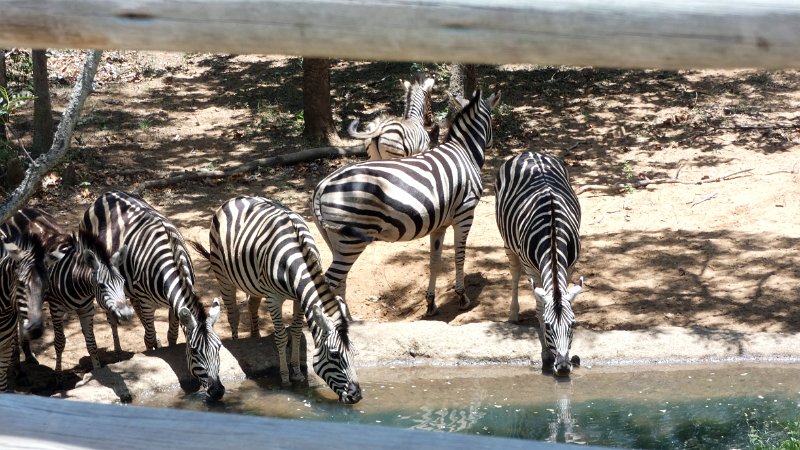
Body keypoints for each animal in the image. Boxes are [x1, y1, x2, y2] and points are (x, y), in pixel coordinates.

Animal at [3, 208, 133, 371]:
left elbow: (92, 344)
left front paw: (98, 371)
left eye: (123, 282)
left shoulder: (87, 309)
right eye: (102, 285)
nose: (127, 314)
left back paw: (28, 355)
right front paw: (58, 373)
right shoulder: (56, 308)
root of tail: (21, 210)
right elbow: (59, 343)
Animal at [80, 191, 225, 400]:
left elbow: (172, 334)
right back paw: (118, 350)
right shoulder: (147, 302)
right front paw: (150, 355)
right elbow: (148, 337)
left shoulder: (174, 305)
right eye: (195, 351)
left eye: (219, 347)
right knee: (112, 317)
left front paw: (168, 347)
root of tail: (105, 194)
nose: (218, 392)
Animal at [189, 196, 362, 404]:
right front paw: (285, 377)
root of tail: (235, 198)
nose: (356, 395)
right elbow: (281, 337)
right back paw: (236, 340)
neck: (296, 263)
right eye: (335, 355)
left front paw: (297, 372)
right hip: (223, 277)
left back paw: (255, 336)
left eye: (354, 353)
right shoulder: (273, 298)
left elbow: (296, 331)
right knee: (233, 315)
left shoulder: (299, 299)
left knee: (252, 305)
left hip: (252, 283)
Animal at [313, 89, 501, 316]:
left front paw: (431, 303)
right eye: (491, 120)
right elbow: (459, 257)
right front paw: (462, 297)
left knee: (340, 281)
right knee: (329, 282)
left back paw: (347, 318)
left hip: (335, 240)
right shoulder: (465, 213)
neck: (464, 152)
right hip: (351, 240)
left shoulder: (440, 223)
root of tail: (322, 185)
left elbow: (435, 261)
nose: (492, 144)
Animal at [494, 151, 583, 377]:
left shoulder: (569, 267)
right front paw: (545, 355)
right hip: (508, 242)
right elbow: (539, 308)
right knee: (514, 273)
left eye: (573, 324)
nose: (563, 367)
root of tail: (529, 153)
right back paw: (513, 313)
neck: (552, 236)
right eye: (549, 327)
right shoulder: (532, 270)